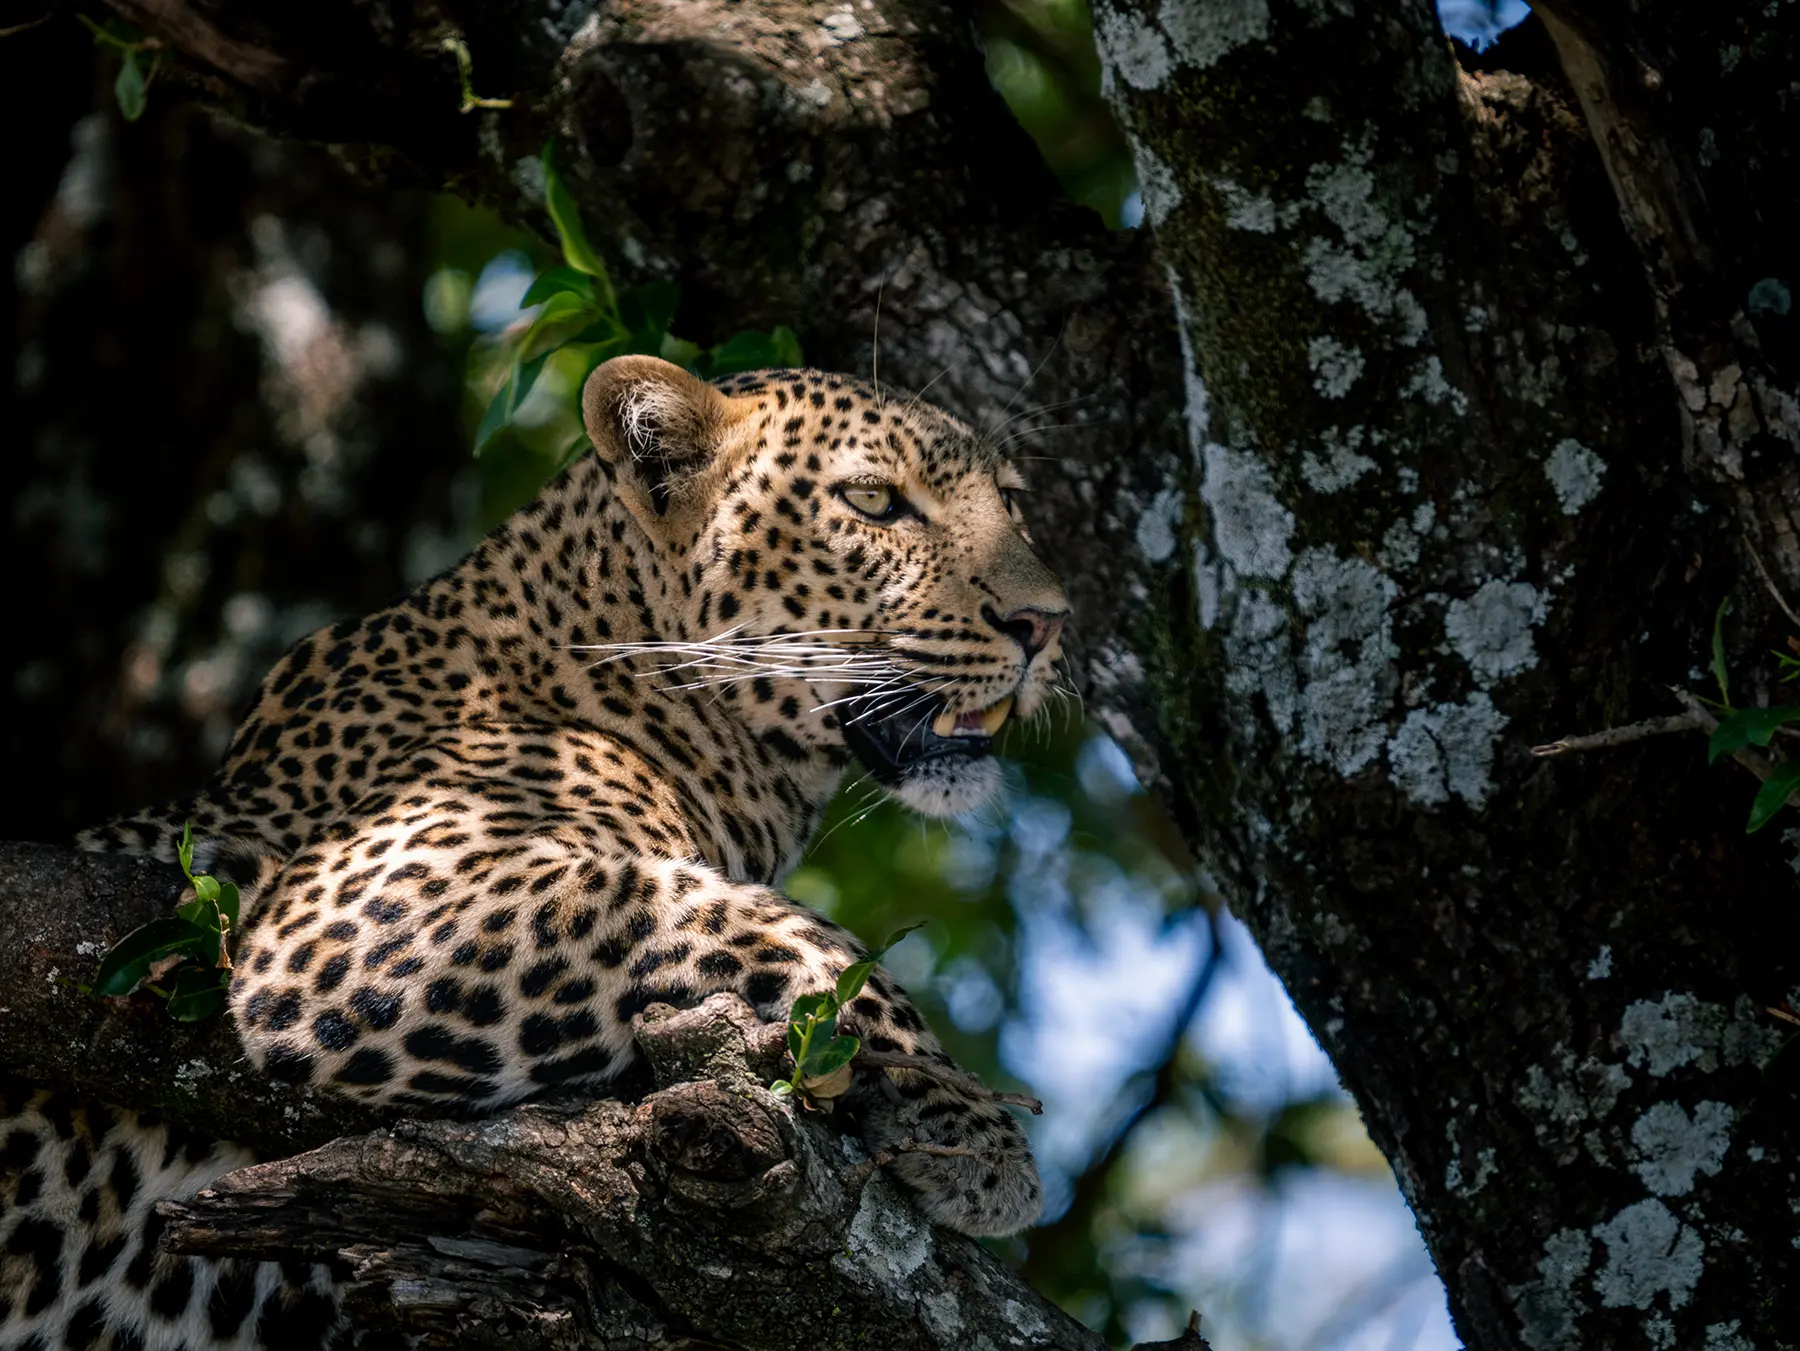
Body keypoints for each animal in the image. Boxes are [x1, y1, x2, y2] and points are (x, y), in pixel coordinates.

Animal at [0, 354, 1072, 1350]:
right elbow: (754, 919)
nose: (1047, 622)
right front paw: (967, 1118)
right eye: (873, 500)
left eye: (1014, 503)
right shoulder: (359, 911)